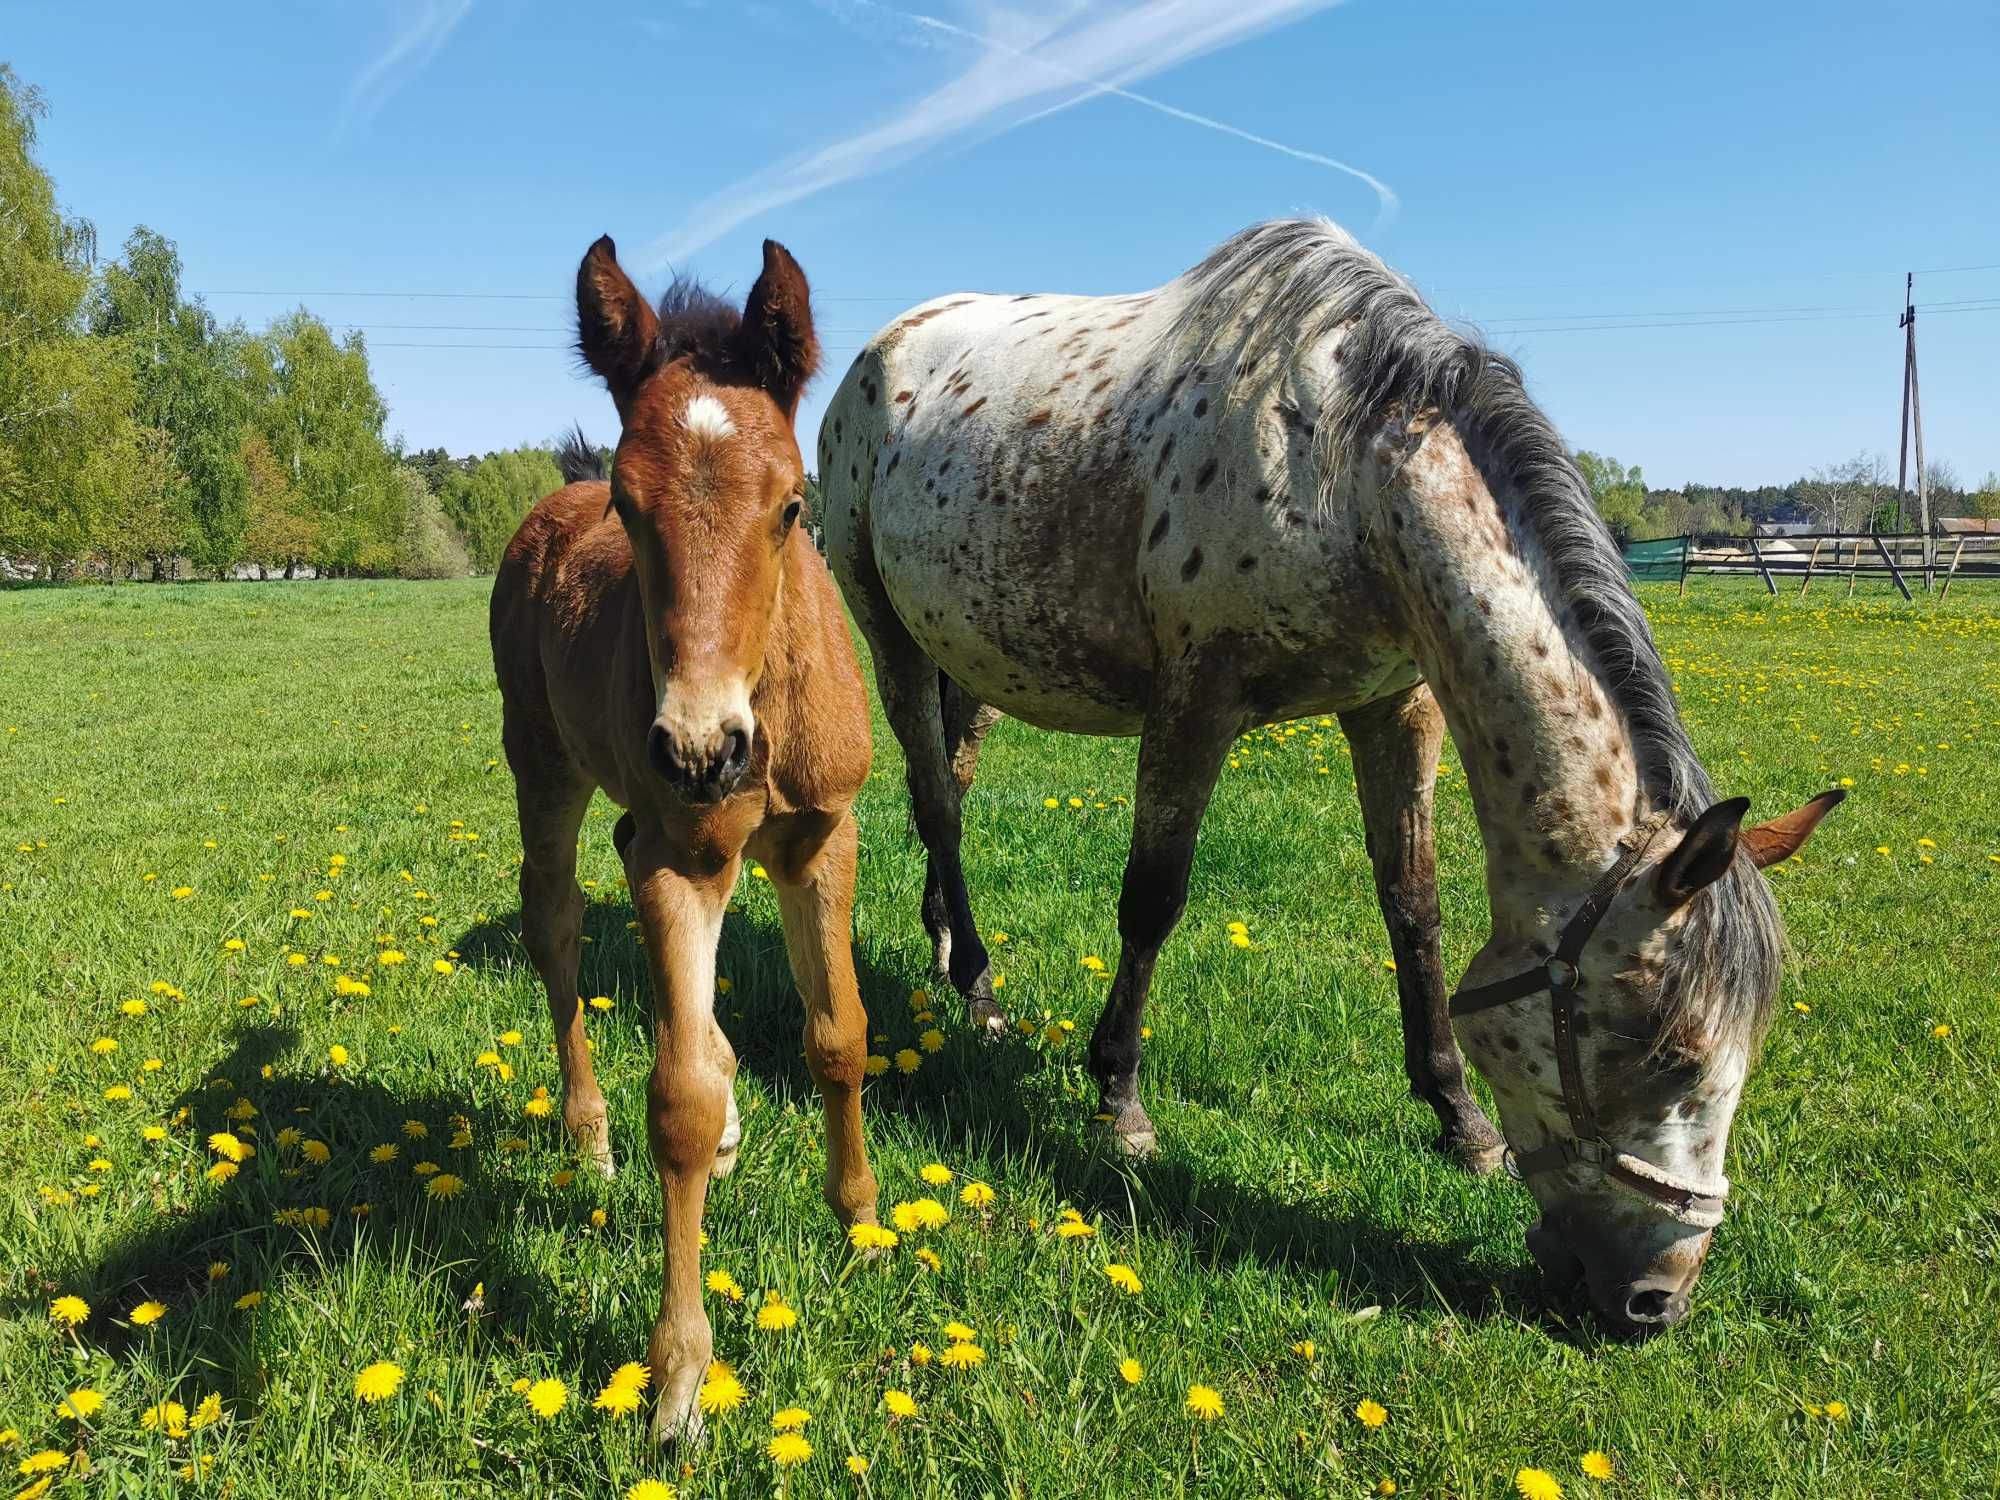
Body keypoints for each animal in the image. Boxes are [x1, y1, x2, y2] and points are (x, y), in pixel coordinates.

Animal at [490, 235, 876, 1448]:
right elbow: (679, 1101)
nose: (703, 749)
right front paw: (677, 1379)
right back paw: (587, 1133)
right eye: (629, 503)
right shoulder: (682, 853)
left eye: (792, 506)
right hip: (544, 763)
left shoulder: (821, 835)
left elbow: (838, 1033)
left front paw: (862, 1223)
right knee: (558, 923)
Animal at [824, 217, 1840, 1336]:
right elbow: (1152, 901)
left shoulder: (1396, 706)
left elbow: (1413, 908)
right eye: (1662, 1053)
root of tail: (879, 356)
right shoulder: (1198, 698)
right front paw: (1118, 1101)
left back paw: (946, 954)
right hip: (887, 633)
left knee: (953, 790)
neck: (1345, 476)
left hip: (972, 652)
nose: (1654, 1302)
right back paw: (977, 983)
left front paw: (1458, 1118)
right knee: (936, 807)